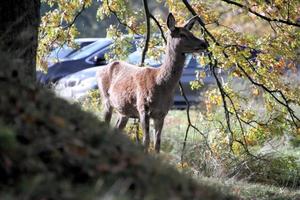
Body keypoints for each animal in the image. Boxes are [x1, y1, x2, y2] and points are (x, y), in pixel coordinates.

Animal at [97, 13, 207, 152]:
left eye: (190, 32)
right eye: (182, 34)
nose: (204, 43)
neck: (161, 85)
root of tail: (100, 70)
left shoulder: (162, 113)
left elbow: (157, 144)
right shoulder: (143, 108)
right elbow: (146, 141)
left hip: (123, 112)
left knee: (116, 129)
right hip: (106, 99)